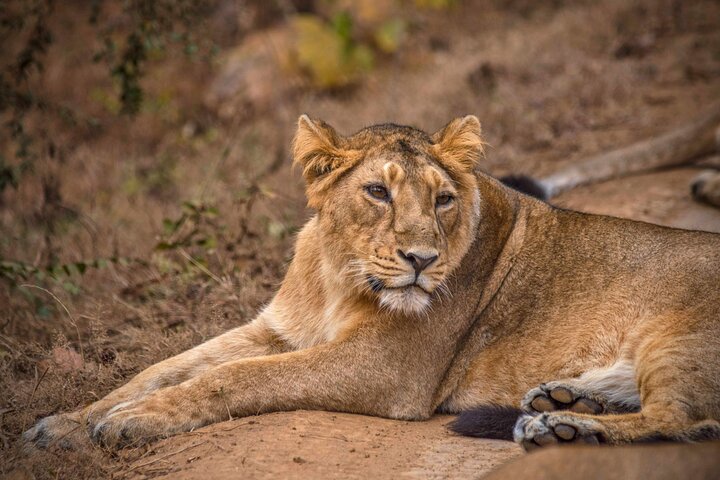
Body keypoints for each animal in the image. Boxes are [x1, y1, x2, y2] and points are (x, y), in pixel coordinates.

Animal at [24, 115, 720, 453]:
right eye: (377, 192)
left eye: (443, 199)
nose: (420, 259)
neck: (338, 273)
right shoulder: (277, 329)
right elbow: (164, 368)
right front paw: (65, 424)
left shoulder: (386, 365)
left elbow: (235, 378)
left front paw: (133, 423)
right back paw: (563, 404)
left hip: (679, 340)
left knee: (682, 419)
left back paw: (562, 429)